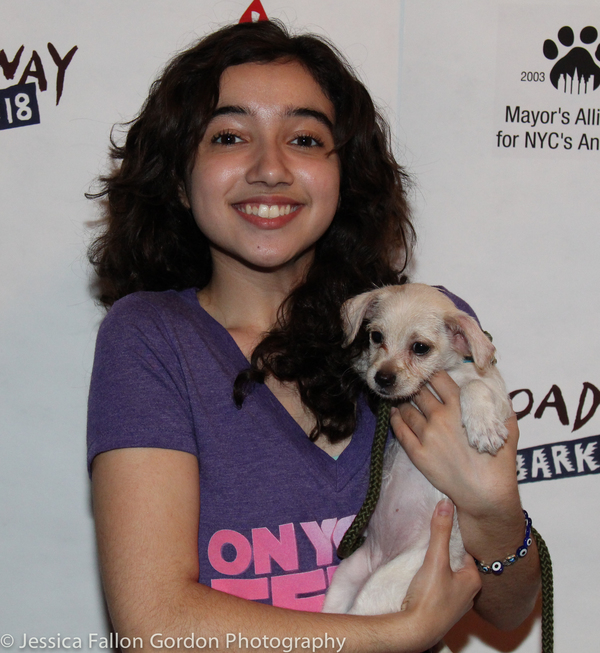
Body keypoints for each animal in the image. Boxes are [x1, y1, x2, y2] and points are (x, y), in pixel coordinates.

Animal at [324, 282, 510, 612]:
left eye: (420, 347)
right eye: (376, 337)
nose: (382, 378)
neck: (445, 374)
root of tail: (383, 557)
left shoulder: (498, 396)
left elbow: (475, 385)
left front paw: (482, 426)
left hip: (381, 584)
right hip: (346, 580)